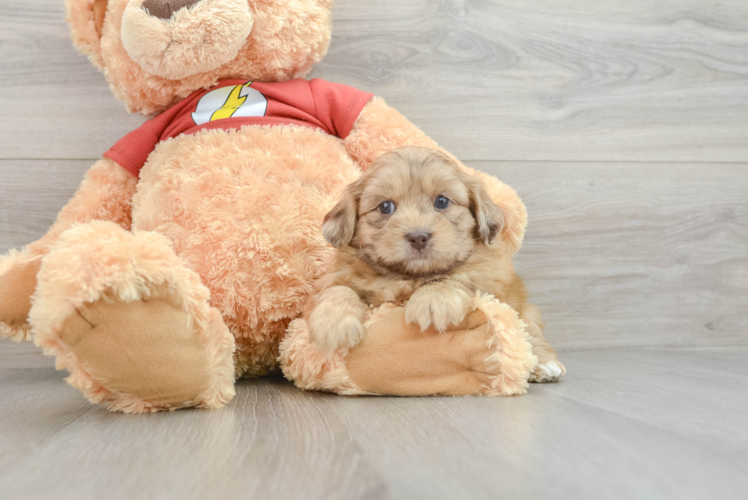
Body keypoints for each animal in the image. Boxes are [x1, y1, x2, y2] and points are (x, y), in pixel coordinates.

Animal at [306, 146, 564, 382]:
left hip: (524, 308)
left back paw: (545, 365)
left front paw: (433, 301)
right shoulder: (335, 276)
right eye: (385, 207)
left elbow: (453, 278)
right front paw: (332, 324)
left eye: (442, 201)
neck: (409, 275)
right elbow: (340, 289)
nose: (418, 236)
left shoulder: (488, 279)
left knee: (529, 331)